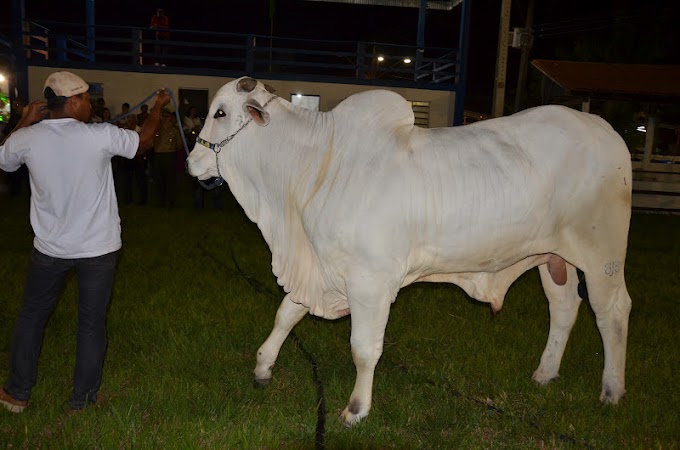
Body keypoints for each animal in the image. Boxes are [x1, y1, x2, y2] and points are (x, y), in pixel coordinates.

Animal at [185, 77, 632, 426]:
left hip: (602, 256)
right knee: (564, 307)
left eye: (220, 113)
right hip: (555, 258)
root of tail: (606, 131)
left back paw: (611, 390)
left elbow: (364, 348)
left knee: (612, 312)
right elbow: (286, 314)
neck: (313, 168)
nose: (191, 161)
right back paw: (545, 373)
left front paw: (356, 409)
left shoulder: (371, 282)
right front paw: (263, 366)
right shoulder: (323, 269)